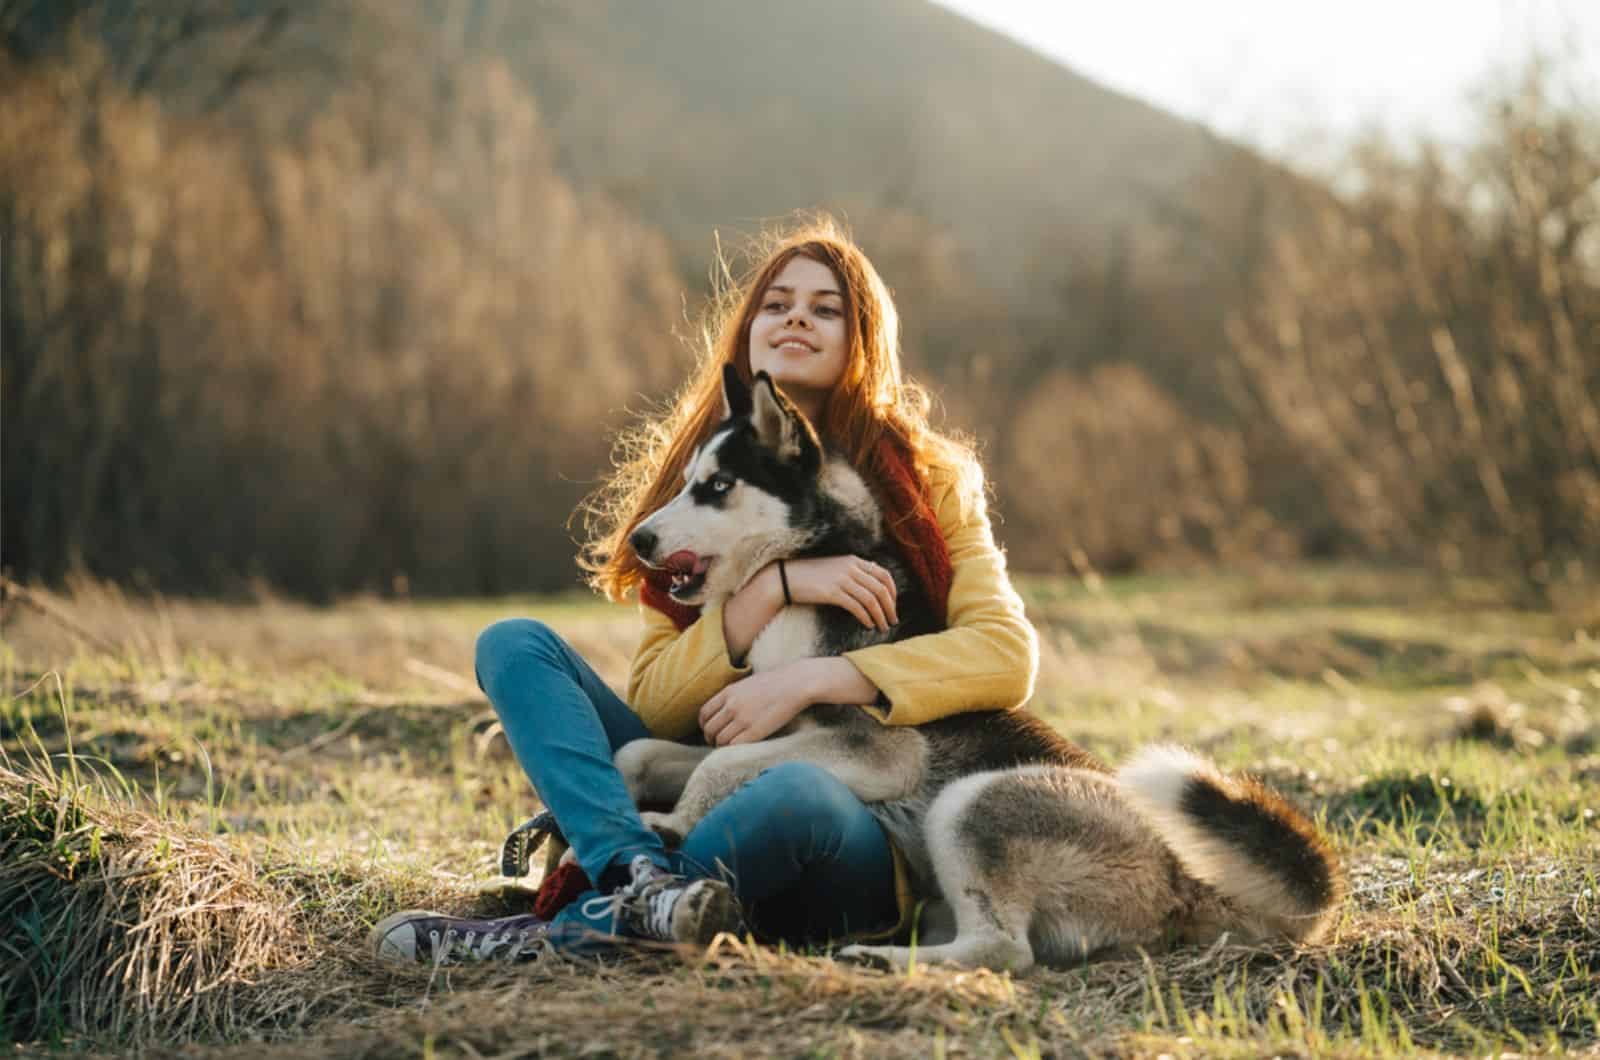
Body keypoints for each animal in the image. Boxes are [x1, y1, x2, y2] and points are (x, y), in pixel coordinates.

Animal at [617, 369, 1344, 973]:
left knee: (1004, 948)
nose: (638, 540)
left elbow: (718, 765)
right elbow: (642, 752)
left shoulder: (877, 750)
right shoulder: (761, 733)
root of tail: (1181, 875)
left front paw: (675, 823)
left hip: (974, 800)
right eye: (688, 480)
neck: (802, 571)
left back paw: (883, 959)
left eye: (717, 487)